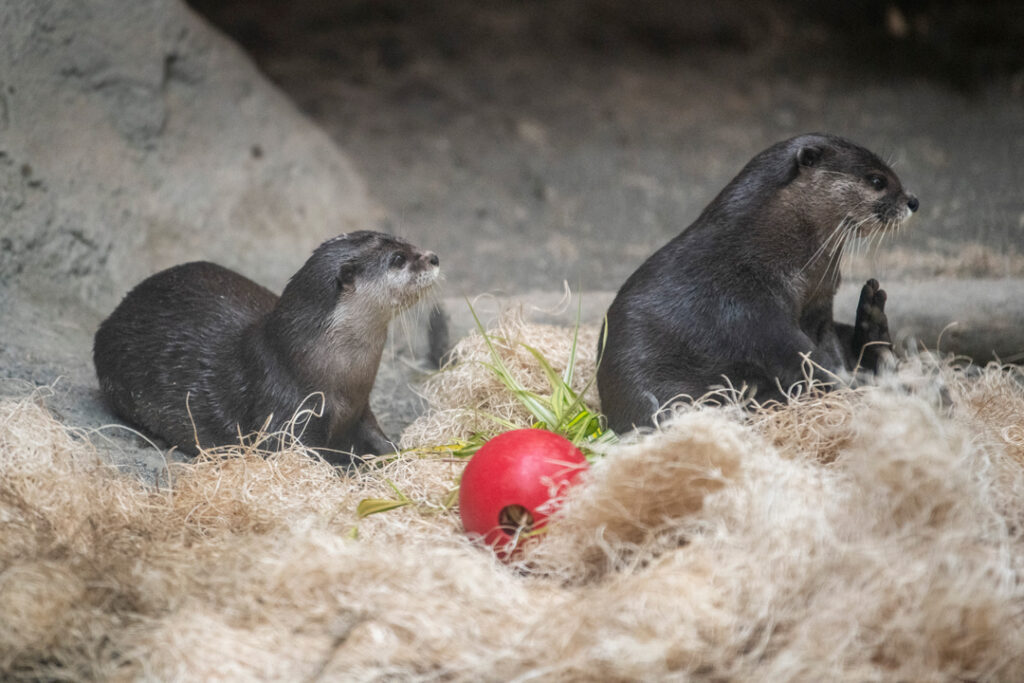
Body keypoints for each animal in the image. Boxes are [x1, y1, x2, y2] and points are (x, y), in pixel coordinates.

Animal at [94, 231, 440, 465]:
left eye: (405, 242)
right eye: (398, 260)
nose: (434, 257)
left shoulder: (360, 408)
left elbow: (379, 438)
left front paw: (402, 454)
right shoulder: (287, 417)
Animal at [598, 133, 918, 432]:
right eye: (877, 180)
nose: (913, 201)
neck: (765, 256)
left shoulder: (819, 306)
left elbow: (830, 349)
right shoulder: (750, 311)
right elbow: (806, 361)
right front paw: (853, 390)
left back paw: (873, 323)